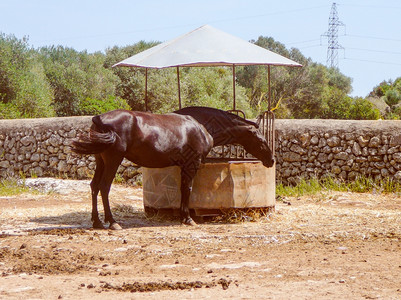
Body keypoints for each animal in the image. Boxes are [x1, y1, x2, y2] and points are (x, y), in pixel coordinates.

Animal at [73, 109, 214, 229]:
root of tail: (99, 118)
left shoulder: (184, 166)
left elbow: (182, 189)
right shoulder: (191, 164)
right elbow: (187, 189)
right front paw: (187, 218)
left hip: (100, 161)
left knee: (95, 186)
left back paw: (97, 221)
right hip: (113, 160)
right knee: (104, 186)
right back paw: (113, 222)